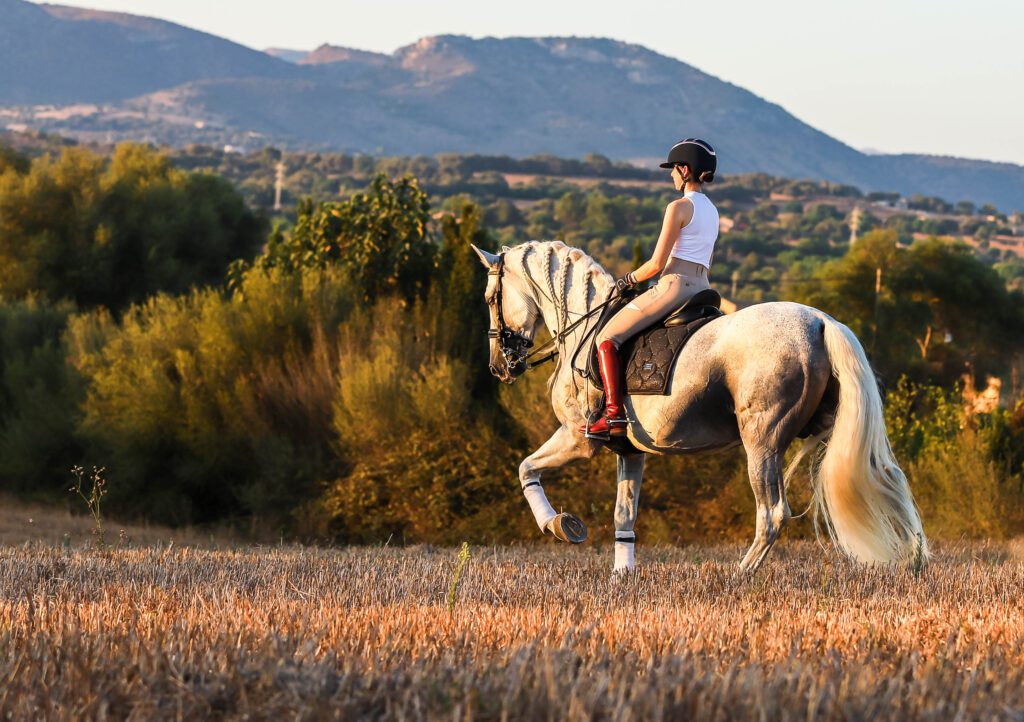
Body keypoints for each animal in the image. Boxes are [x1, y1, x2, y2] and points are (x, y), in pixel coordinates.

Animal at [472, 240, 927, 573]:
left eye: (491, 297)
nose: (499, 367)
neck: (583, 327)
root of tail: (819, 321)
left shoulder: (578, 439)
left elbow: (526, 468)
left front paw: (559, 526)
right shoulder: (630, 451)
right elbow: (624, 516)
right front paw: (623, 576)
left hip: (761, 441)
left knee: (772, 513)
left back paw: (739, 577)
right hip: (836, 431)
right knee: (887, 479)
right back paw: (914, 559)